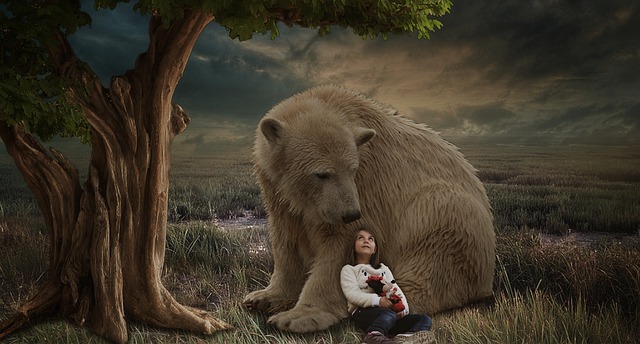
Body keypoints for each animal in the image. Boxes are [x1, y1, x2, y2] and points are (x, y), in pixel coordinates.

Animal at [242, 84, 498, 332]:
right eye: (321, 174)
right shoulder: (277, 192)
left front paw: (297, 318)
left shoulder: (368, 187)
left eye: (352, 169)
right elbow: (286, 240)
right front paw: (262, 297)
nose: (350, 213)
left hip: (446, 212)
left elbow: (340, 245)